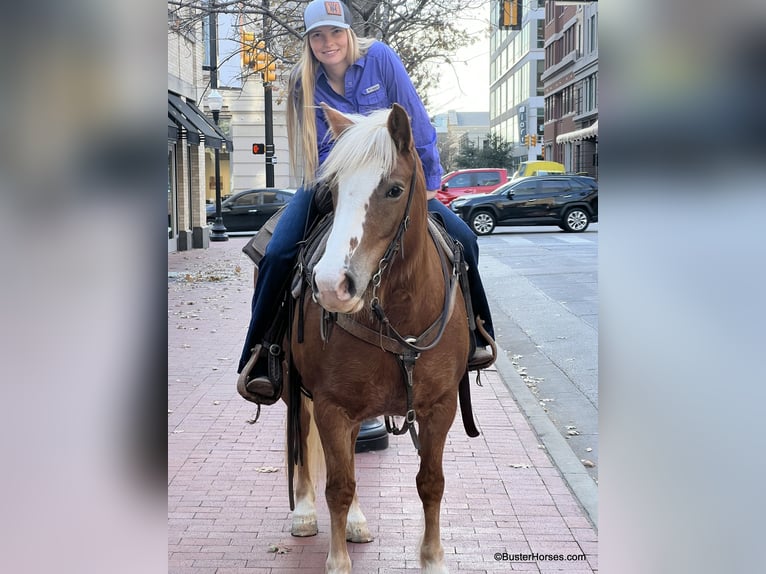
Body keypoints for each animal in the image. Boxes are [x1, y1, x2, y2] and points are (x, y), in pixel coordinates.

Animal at [284, 104, 476, 574]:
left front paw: (433, 559)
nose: (331, 285)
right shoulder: (331, 404)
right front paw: (337, 562)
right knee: (303, 440)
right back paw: (304, 512)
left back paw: (355, 522)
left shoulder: (440, 406)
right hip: (300, 390)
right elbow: (338, 486)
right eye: (332, 190)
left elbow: (431, 483)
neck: (400, 314)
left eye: (394, 190)